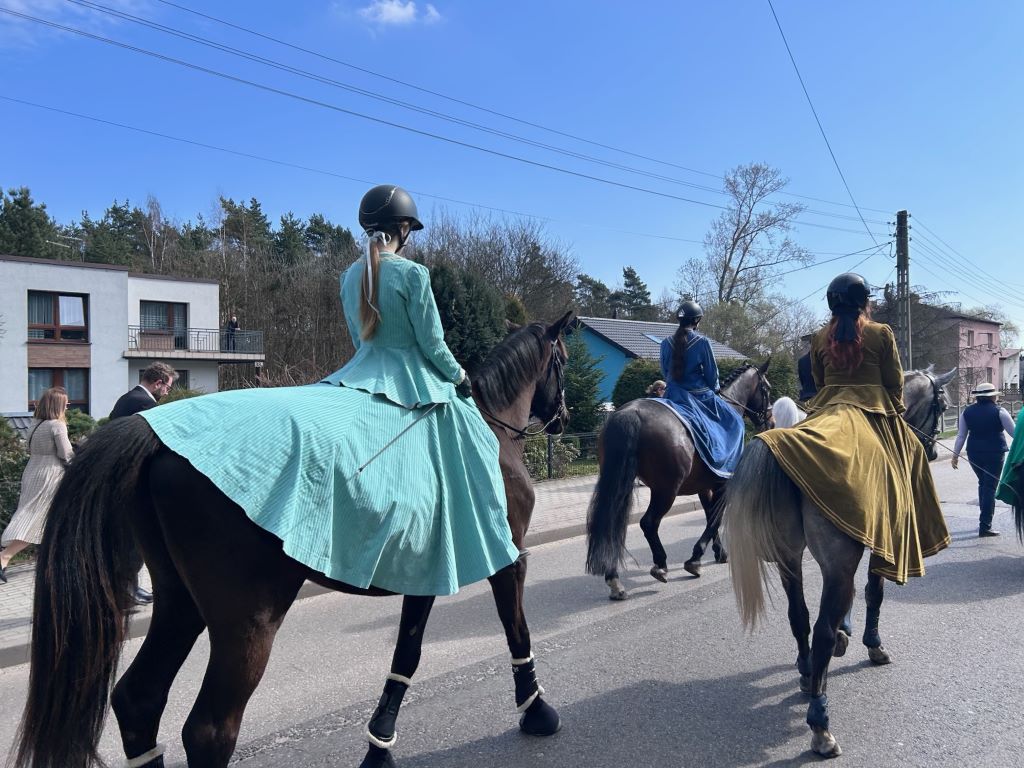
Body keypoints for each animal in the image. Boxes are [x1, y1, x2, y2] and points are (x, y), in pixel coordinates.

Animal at [11, 312, 575, 768]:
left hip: (180, 604)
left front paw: (380, 746)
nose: (564, 417)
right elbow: (517, 630)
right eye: (564, 361)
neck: (492, 429)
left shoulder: (428, 571)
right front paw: (537, 710)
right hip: (247, 621)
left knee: (138, 700)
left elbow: (406, 657)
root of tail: (153, 434)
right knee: (209, 731)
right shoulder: (510, 559)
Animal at [585, 360, 773, 600]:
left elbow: (710, 515)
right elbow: (715, 519)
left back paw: (614, 579)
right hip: (666, 490)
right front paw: (695, 559)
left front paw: (719, 552)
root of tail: (631, 413)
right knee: (649, 522)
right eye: (767, 388)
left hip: (619, 483)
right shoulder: (723, 485)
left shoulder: (705, 487)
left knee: (611, 523)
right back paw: (660, 565)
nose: (770, 421)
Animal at [724, 366, 953, 758]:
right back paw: (821, 724)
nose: (934, 450)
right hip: (836, 562)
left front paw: (846, 635)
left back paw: (806, 672)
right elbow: (873, 593)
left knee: (799, 617)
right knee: (821, 631)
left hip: (790, 559)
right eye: (941, 406)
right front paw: (872, 644)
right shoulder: (877, 546)